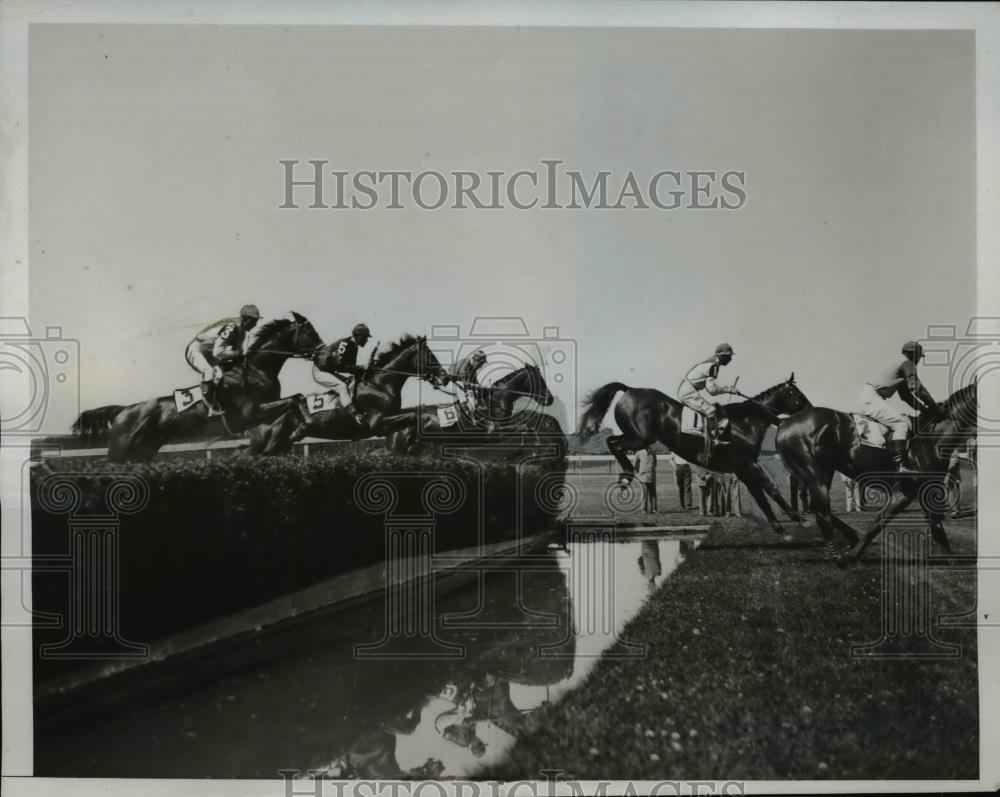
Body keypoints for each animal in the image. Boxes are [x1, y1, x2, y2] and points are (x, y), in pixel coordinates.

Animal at [91, 310, 320, 460]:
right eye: (310, 331)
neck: (256, 371)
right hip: (120, 451)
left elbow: (296, 400)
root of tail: (122, 411)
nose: (323, 351)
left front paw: (298, 432)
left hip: (143, 451)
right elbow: (295, 399)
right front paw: (301, 429)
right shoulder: (251, 414)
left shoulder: (266, 412)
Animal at [248, 332, 448, 454]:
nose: (445, 377)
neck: (380, 385)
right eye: (430, 356)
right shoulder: (377, 423)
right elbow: (411, 417)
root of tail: (259, 412)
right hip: (271, 442)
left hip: (283, 442)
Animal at [384, 366, 560, 458]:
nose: (549, 399)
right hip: (399, 448)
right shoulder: (495, 433)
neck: (497, 400)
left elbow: (525, 426)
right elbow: (524, 427)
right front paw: (534, 446)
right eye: (540, 381)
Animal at [580, 374, 812, 536]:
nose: (811, 410)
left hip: (635, 436)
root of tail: (630, 390)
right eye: (797, 394)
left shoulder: (745, 468)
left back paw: (625, 475)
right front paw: (792, 523)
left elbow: (764, 492)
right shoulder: (745, 465)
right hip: (640, 437)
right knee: (616, 445)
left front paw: (787, 524)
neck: (744, 423)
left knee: (611, 441)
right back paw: (627, 475)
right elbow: (767, 491)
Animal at [772, 380, 976, 564]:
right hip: (816, 474)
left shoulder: (925, 490)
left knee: (819, 508)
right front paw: (854, 554)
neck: (932, 439)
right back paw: (840, 555)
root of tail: (784, 426)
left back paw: (850, 536)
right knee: (821, 511)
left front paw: (950, 560)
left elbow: (937, 528)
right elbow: (879, 523)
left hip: (816, 473)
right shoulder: (904, 491)